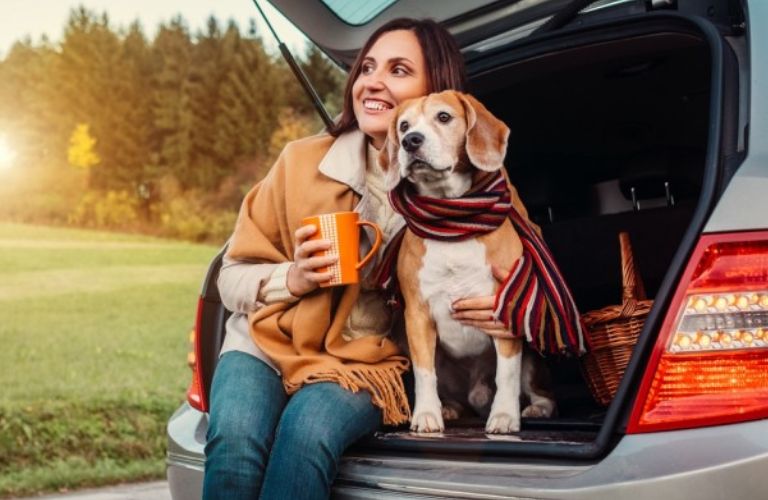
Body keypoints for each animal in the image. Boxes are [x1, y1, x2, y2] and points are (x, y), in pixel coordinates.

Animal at [380, 91, 556, 434]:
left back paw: (536, 408)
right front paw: (427, 413)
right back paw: (448, 408)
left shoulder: (503, 310)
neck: (451, 221)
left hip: (531, 359)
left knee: (540, 392)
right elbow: (424, 373)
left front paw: (505, 415)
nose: (410, 141)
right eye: (404, 125)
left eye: (444, 117)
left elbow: (507, 374)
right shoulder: (417, 316)